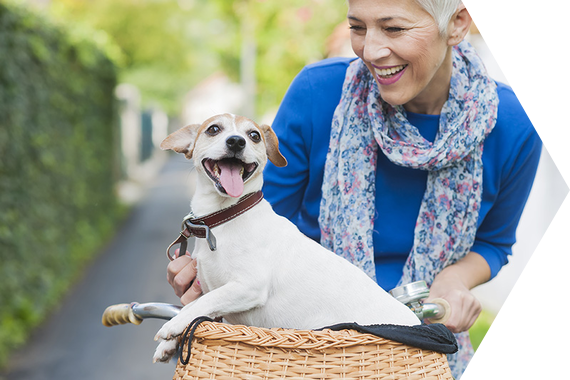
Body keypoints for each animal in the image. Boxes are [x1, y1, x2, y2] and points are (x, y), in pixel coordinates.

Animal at [151, 112, 418, 362]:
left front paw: (173, 325)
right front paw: (168, 344)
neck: (222, 219)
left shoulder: (248, 286)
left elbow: (202, 302)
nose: (236, 141)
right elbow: (198, 307)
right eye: (213, 129)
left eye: (254, 135)